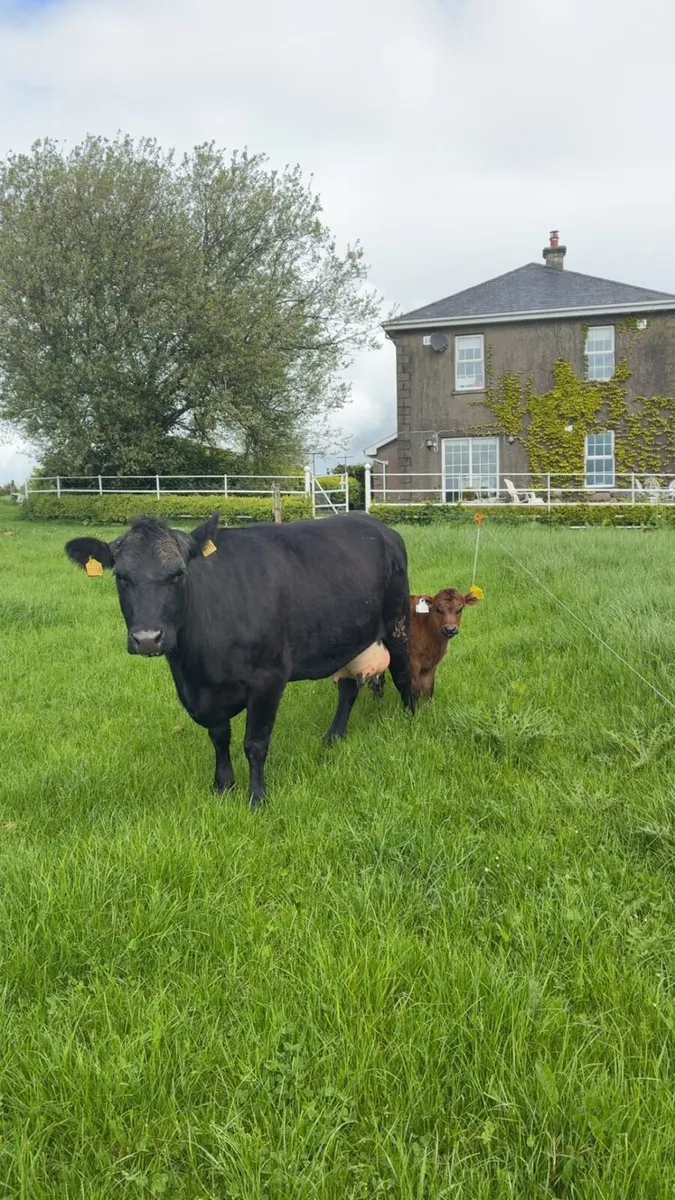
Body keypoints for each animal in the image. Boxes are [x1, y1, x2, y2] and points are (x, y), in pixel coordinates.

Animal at [64, 512, 415, 808]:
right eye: (121, 577)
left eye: (178, 573)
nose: (148, 638)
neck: (196, 668)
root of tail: (377, 525)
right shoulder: (202, 692)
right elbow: (219, 738)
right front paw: (223, 786)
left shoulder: (269, 679)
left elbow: (255, 743)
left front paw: (256, 798)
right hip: (349, 634)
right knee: (348, 687)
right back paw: (334, 736)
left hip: (397, 623)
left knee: (403, 673)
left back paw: (410, 717)